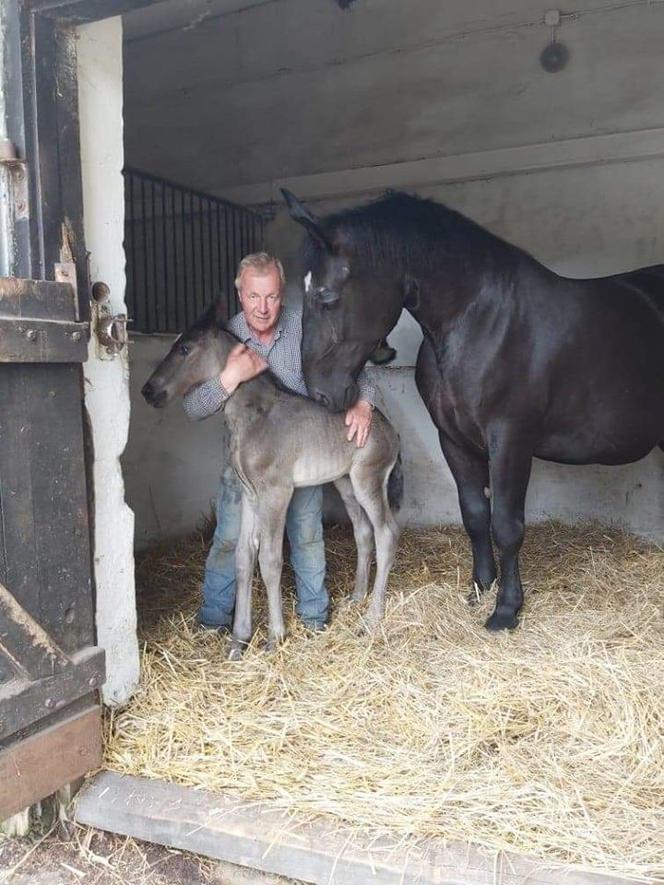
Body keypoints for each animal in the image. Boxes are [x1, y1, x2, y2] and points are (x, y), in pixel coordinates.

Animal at [282, 188, 664, 628]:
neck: (480, 320)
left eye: (327, 298)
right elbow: (475, 514)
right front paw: (481, 587)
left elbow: (507, 526)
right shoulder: (454, 440)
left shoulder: (510, 441)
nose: (320, 393)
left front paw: (506, 609)